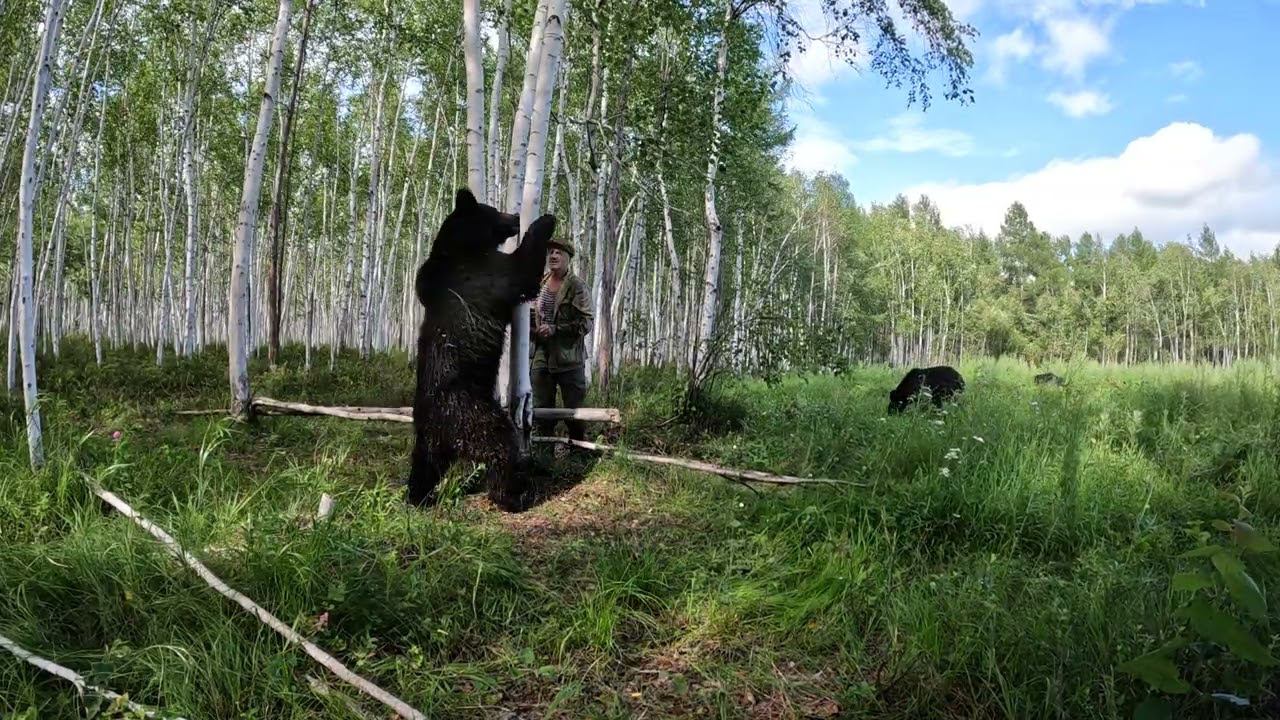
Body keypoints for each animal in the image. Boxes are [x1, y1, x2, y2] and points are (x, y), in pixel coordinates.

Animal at [407, 188, 556, 512]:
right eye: (494, 210)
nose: (515, 216)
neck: (463, 245)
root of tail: (440, 428)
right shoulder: (483, 271)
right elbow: (521, 272)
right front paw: (545, 221)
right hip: (472, 414)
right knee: (500, 445)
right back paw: (514, 495)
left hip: (427, 436)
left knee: (424, 464)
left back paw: (419, 496)